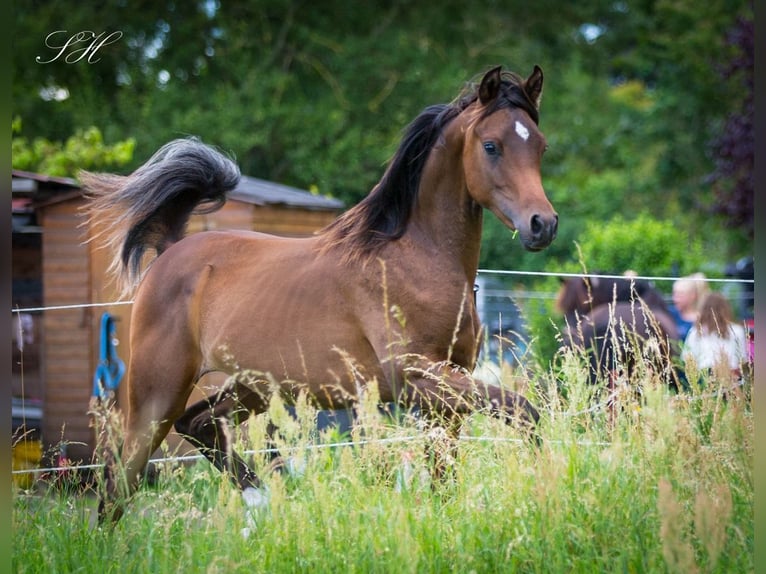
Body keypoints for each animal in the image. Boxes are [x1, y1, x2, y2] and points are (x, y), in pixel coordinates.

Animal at [84, 65, 560, 524]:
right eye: (492, 146)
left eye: (540, 146)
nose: (542, 225)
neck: (416, 259)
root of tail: (170, 252)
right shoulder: (416, 377)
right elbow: (526, 412)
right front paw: (544, 480)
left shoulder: (447, 391)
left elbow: (447, 475)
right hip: (156, 397)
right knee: (118, 488)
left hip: (254, 386)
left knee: (199, 423)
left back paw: (262, 501)